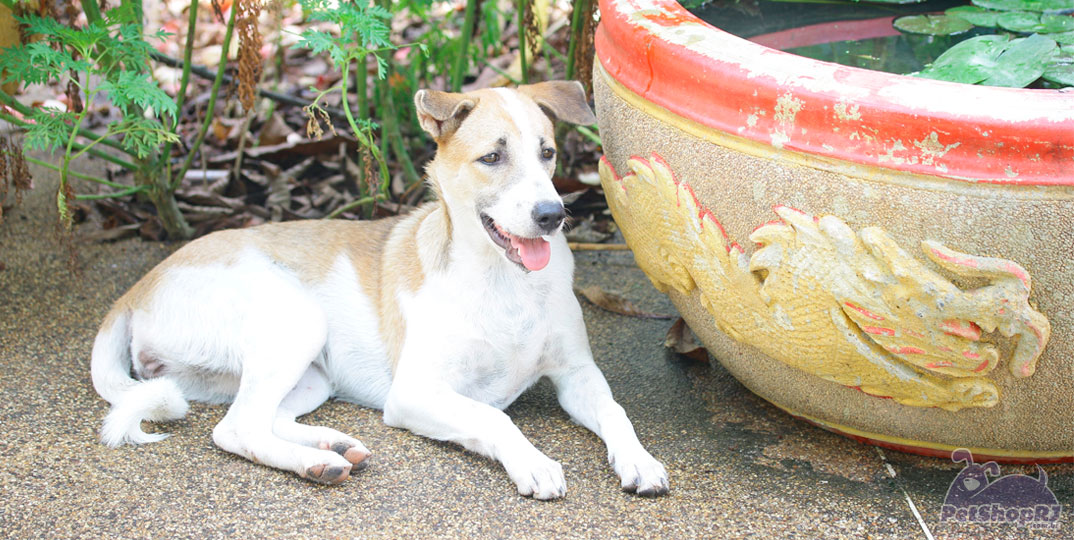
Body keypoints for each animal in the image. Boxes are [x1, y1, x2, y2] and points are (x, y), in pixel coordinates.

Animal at [92, 82, 665, 500]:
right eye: (491, 158)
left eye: (547, 153)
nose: (552, 215)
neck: (504, 282)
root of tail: (136, 288)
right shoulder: (415, 393)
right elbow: (492, 415)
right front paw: (532, 461)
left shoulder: (577, 373)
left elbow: (616, 411)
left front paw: (639, 459)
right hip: (294, 319)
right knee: (235, 429)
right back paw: (316, 462)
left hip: (311, 375)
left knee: (262, 417)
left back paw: (333, 444)